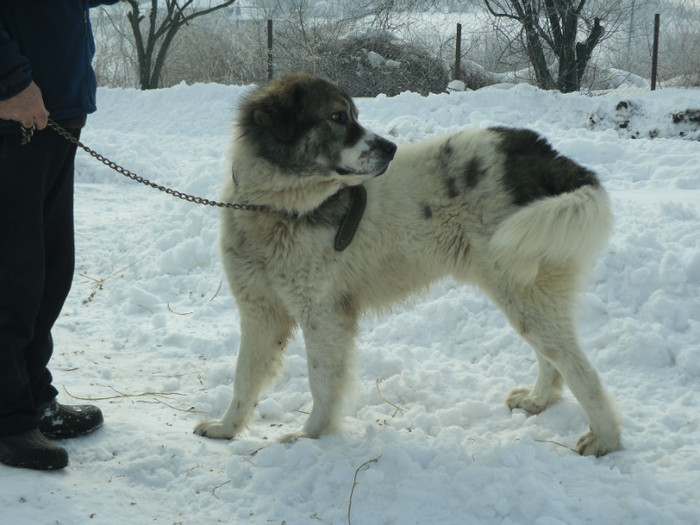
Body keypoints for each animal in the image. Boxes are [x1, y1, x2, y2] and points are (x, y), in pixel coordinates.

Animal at [194, 72, 620, 454]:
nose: (390, 148)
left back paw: (606, 439)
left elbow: (321, 381)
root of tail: (546, 154)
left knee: (582, 371)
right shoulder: (260, 312)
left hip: (523, 291)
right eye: (337, 117)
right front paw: (226, 428)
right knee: (554, 360)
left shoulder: (322, 315)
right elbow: (244, 379)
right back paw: (538, 400)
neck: (275, 208)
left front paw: (310, 436)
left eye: (352, 114)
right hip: (522, 293)